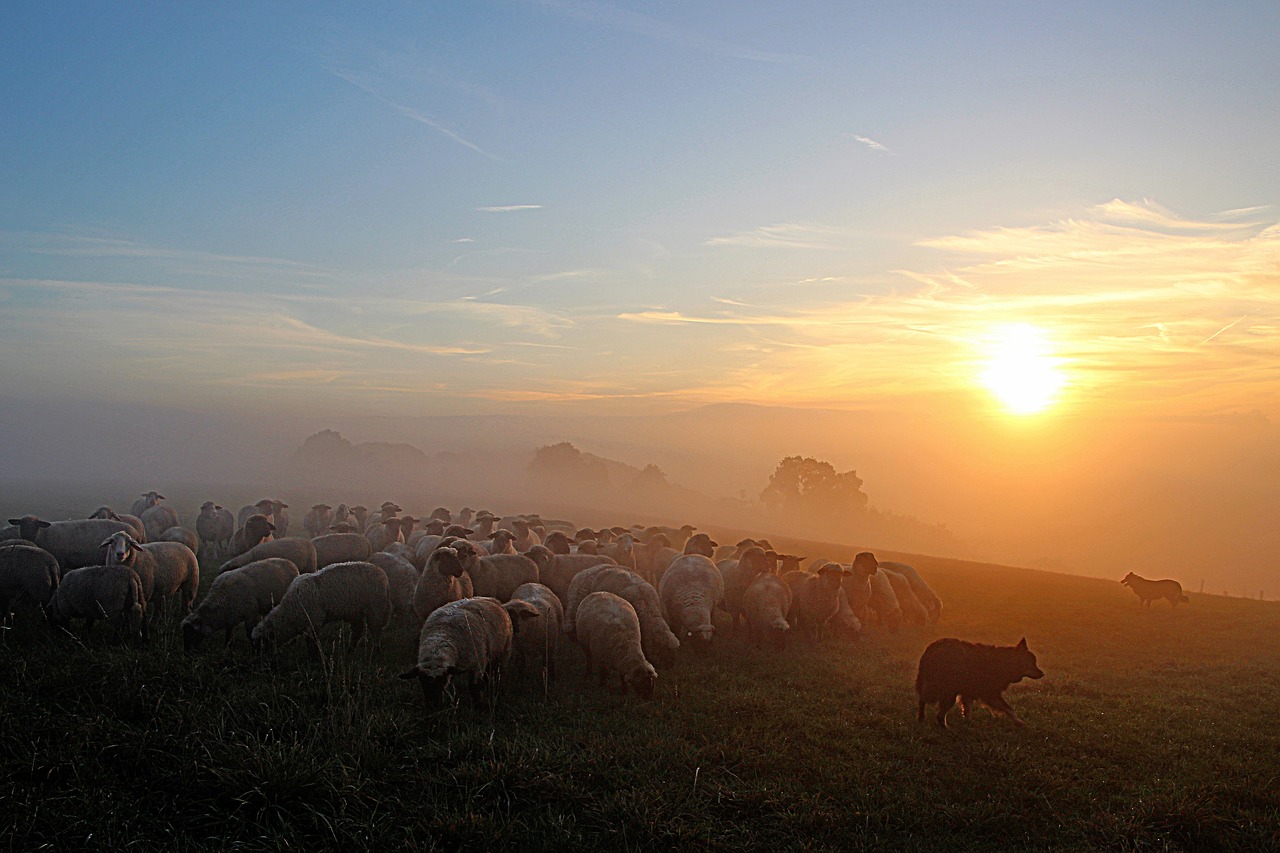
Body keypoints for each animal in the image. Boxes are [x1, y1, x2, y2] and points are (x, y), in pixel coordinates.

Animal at [248, 558, 389, 650]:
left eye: (261, 643)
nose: (257, 660)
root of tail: (381, 572)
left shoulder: (314, 622)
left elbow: (313, 645)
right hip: (355, 610)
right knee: (357, 629)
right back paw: (351, 648)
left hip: (376, 607)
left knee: (375, 630)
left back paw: (374, 650)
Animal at [399, 591, 540, 701]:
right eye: (422, 681)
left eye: (442, 680)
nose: (434, 705)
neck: (441, 636)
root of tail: (490, 598)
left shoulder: (477, 664)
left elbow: (474, 688)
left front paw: (480, 708)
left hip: (503, 651)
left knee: (497, 672)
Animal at [916, 635, 1044, 727]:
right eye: (1032, 663)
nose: (1042, 673)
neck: (1004, 663)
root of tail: (932, 649)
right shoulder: (990, 694)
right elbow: (1008, 708)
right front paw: (1019, 722)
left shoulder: (967, 693)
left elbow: (967, 710)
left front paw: (968, 723)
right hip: (947, 693)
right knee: (937, 714)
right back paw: (944, 728)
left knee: (924, 701)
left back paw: (922, 718)